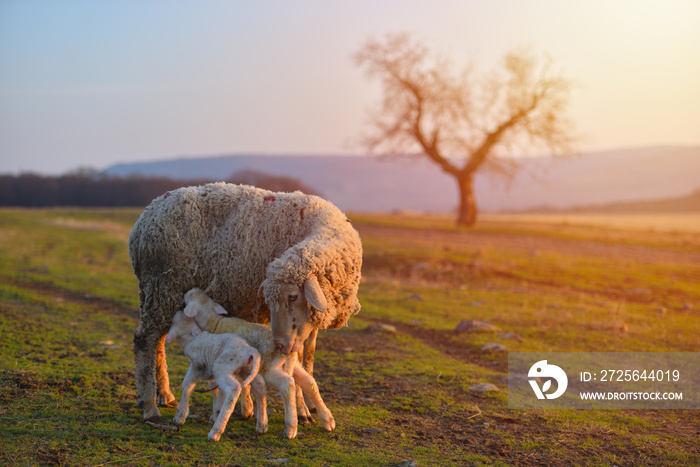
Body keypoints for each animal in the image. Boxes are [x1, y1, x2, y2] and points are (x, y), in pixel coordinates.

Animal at [128, 184, 364, 424]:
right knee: (144, 340)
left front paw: (307, 405)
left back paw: (165, 395)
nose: (279, 345)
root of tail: (144, 218)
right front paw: (301, 410)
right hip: (162, 286)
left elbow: (308, 359)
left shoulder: (309, 324)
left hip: (162, 295)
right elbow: (296, 363)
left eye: (292, 296)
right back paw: (150, 406)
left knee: (158, 341)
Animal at [164, 308, 268, 440]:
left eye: (174, 321)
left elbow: (187, 385)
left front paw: (179, 417)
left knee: (233, 389)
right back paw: (262, 426)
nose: (180, 310)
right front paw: (215, 412)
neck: (190, 338)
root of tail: (250, 350)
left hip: (223, 367)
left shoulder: (196, 364)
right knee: (260, 386)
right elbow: (214, 390)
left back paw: (215, 432)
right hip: (246, 369)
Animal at [183, 288, 336, 440]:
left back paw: (290, 428)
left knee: (287, 384)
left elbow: (219, 388)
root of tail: (289, 350)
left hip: (269, 367)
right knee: (309, 382)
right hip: (294, 365)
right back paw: (328, 420)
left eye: (189, 297)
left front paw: (216, 414)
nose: (187, 292)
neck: (214, 322)